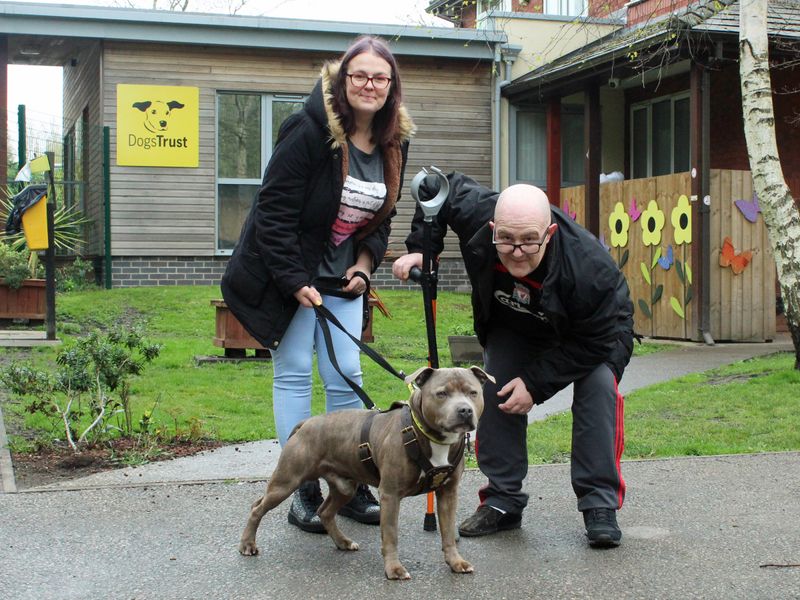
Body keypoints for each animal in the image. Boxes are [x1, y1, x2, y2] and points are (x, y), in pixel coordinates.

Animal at [238, 364, 490, 580]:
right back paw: (247, 545)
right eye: (441, 394)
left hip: (344, 487)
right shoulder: (390, 495)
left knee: (325, 511)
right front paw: (394, 569)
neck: (428, 435)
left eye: (473, 392)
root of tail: (306, 423)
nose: (464, 410)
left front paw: (456, 562)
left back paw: (343, 542)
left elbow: (447, 532)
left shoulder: (448, 493)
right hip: (286, 481)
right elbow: (390, 534)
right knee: (257, 508)